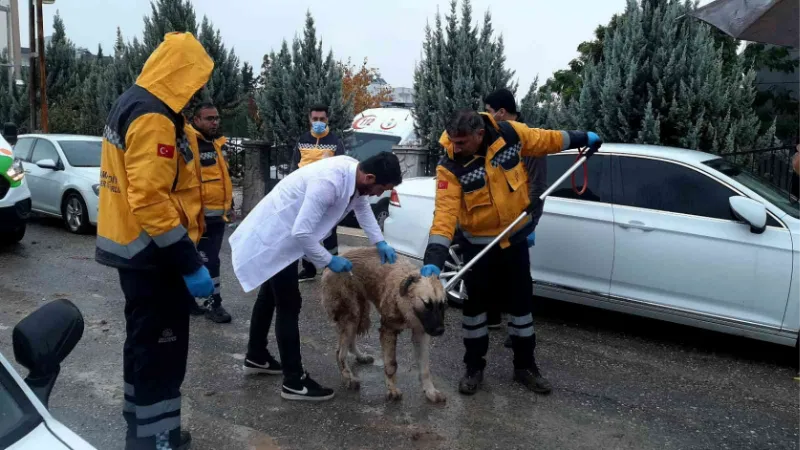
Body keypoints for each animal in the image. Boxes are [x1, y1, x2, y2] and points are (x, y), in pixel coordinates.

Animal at [320, 248, 446, 402]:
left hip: (360, 313)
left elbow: (425, 367)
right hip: (351, 316)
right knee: (340, 352)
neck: (404, 300)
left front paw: (430, 391)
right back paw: (348, 377)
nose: (440, 330)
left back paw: (360, 357)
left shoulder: (421, 333)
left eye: (442, 305)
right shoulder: (388, 330)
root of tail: (332, 261)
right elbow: (391, 364)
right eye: (427, 304)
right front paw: (392, 390)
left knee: (349, 342)